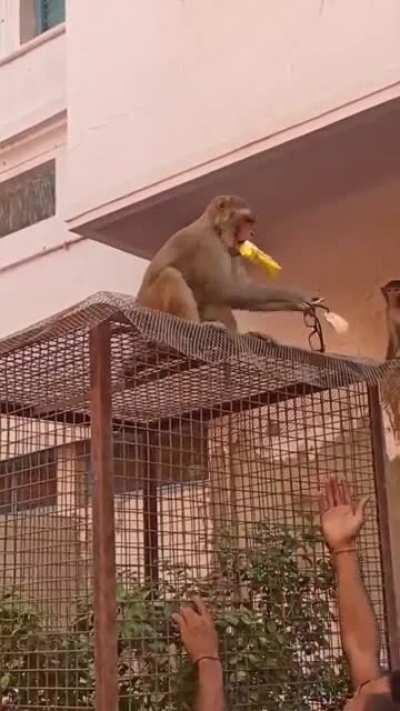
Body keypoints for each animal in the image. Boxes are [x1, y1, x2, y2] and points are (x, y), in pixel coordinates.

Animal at [136, 195, 319, 333]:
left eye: (251, 222)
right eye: (246, 221)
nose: (252, 233)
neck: (215, 228)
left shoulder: (234, 251)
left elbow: (238, 287)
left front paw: (296, 304)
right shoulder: (207, 243)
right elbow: (223, 289)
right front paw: (295, 295)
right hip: (154, 305)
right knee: (170, 275)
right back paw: (196, 325)